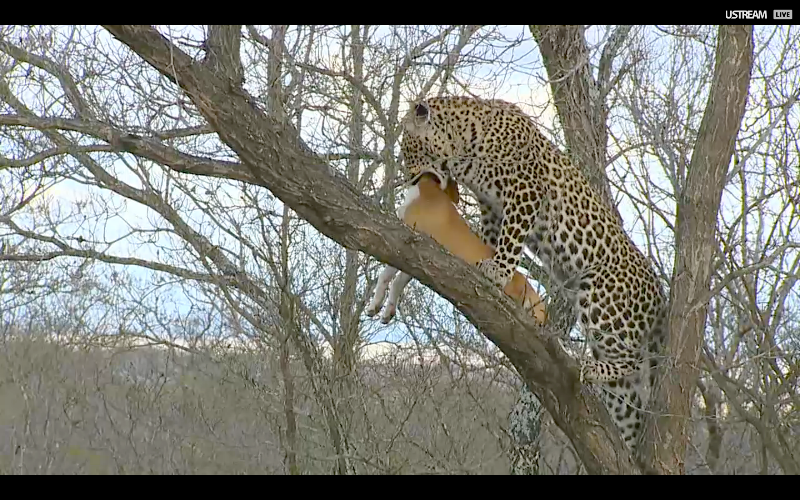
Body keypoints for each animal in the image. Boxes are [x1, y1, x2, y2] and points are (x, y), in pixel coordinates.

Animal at [400, 95, 668, 448]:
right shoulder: (491, 204)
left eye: (408, 149)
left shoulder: (524, 191)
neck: (462, 148)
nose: (407, 177)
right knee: (630, 403)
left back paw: (592, 369)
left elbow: (512, 238)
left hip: (601, 299)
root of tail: (660, 297)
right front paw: (488, 261)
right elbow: (492, 237)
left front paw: (498, 270)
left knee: (632, 360)